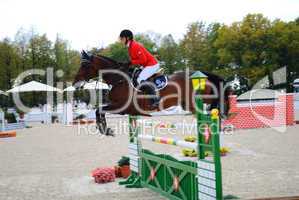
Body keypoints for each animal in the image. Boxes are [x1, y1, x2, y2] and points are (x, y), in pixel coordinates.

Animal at [74, 50, 233, 135]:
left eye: (85, 65)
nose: (75, 83)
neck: (120, 80)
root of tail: (198, 74)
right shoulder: (122, 108)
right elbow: (98, 110)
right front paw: (104, 129)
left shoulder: (122, 107)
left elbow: (100, 110)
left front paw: (105, 129)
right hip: (188, 104)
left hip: (195, 101)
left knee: (214, 104)